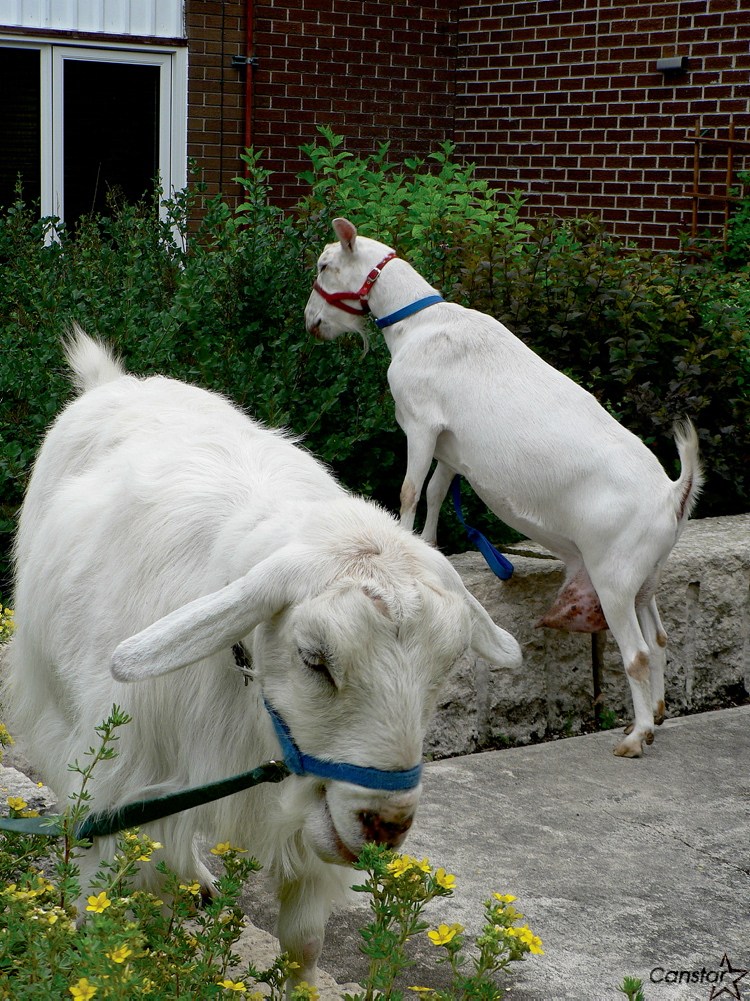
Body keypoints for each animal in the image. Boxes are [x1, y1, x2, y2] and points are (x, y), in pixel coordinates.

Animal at [4, 328, 521, 982]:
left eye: (444, 670)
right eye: (315, 659)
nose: (387, 825)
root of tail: (111, 381)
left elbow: (303, 943)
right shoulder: (118, 774)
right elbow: (104, 908)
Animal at [305, 218, 703, 758]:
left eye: (325, 265)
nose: (311, 322)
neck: (418, 324)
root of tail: (673, 494)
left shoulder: (421, 424)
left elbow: (409, 490)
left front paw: (401, 539)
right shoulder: (450, 447)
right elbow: (437, 493)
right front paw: (428, 544)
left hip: (614, 573)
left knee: (638, 652)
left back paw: (635, 736)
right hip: (647, 575)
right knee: (659, 639)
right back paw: (657, 714)